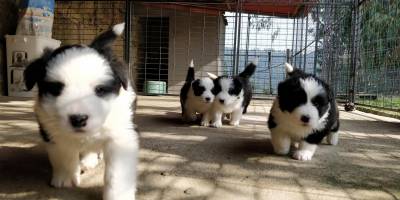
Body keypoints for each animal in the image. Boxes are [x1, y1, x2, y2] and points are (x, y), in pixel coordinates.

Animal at [24, 22, 139, 199]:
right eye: (56, 89)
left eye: (100, 90)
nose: (78, 119)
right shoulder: (52, 131)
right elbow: (63, 155)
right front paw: (65, 178)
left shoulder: (121, 137)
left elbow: (116, 174)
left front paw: (118, 196)